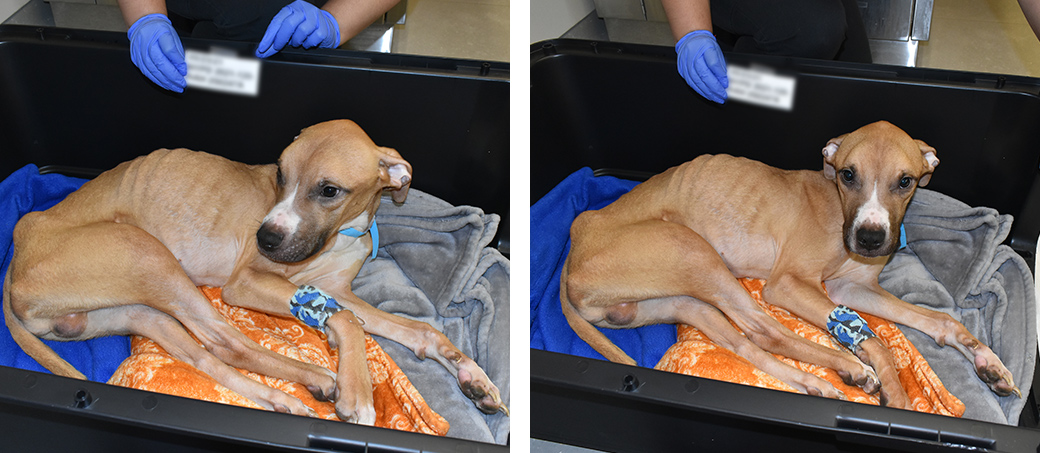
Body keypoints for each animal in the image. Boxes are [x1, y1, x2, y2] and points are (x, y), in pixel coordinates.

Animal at [3, 119, 506, 423]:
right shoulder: (248, 283)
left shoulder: (336, 289)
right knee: (227, 341)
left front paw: (471, 375)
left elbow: (415, 329)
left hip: (136, 312)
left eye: (329, 190)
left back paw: (286, 398)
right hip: (145, 254)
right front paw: (358, 392)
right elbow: (347, 322)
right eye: (280, 174)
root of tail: (12, 265)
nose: (265, 238)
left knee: (206, 354)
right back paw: (320, 380)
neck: (342, 233)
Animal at [561, 121, 1017, 408]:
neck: (836, 206)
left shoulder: (852, 289)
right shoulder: (790, 285)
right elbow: (879, 344)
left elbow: (939, 321)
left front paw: (987, 360)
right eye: (848, 174)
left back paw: (817, 383)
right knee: (766, 329)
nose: (870, 240)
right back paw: (849, 369)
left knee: (746, 341)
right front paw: (898, 396)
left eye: (905, 181)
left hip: (681, 302)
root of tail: (572, 250)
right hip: (692, 251)